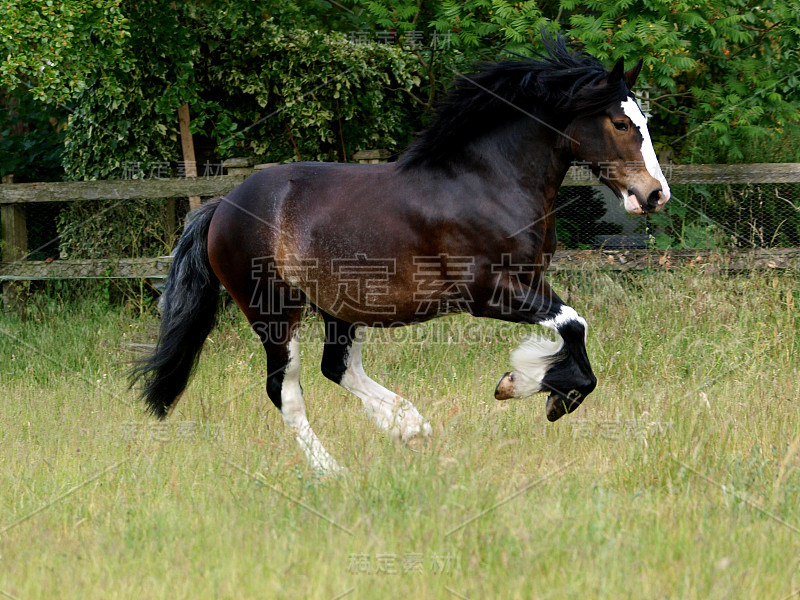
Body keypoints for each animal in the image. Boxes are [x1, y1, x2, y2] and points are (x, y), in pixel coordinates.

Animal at [133, 34, 668, 474]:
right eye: (621, 122)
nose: (654, 194)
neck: (488, 182)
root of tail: (222, 206)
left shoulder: (530, 280)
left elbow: (571, 324)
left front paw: (534, 384)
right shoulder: (486, 292)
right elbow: (574, 325)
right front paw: (531, 387)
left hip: (339, 306)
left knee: (337, 368)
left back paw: (410, 427)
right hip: (273, 311)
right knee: (285, 391)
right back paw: (334, 471)